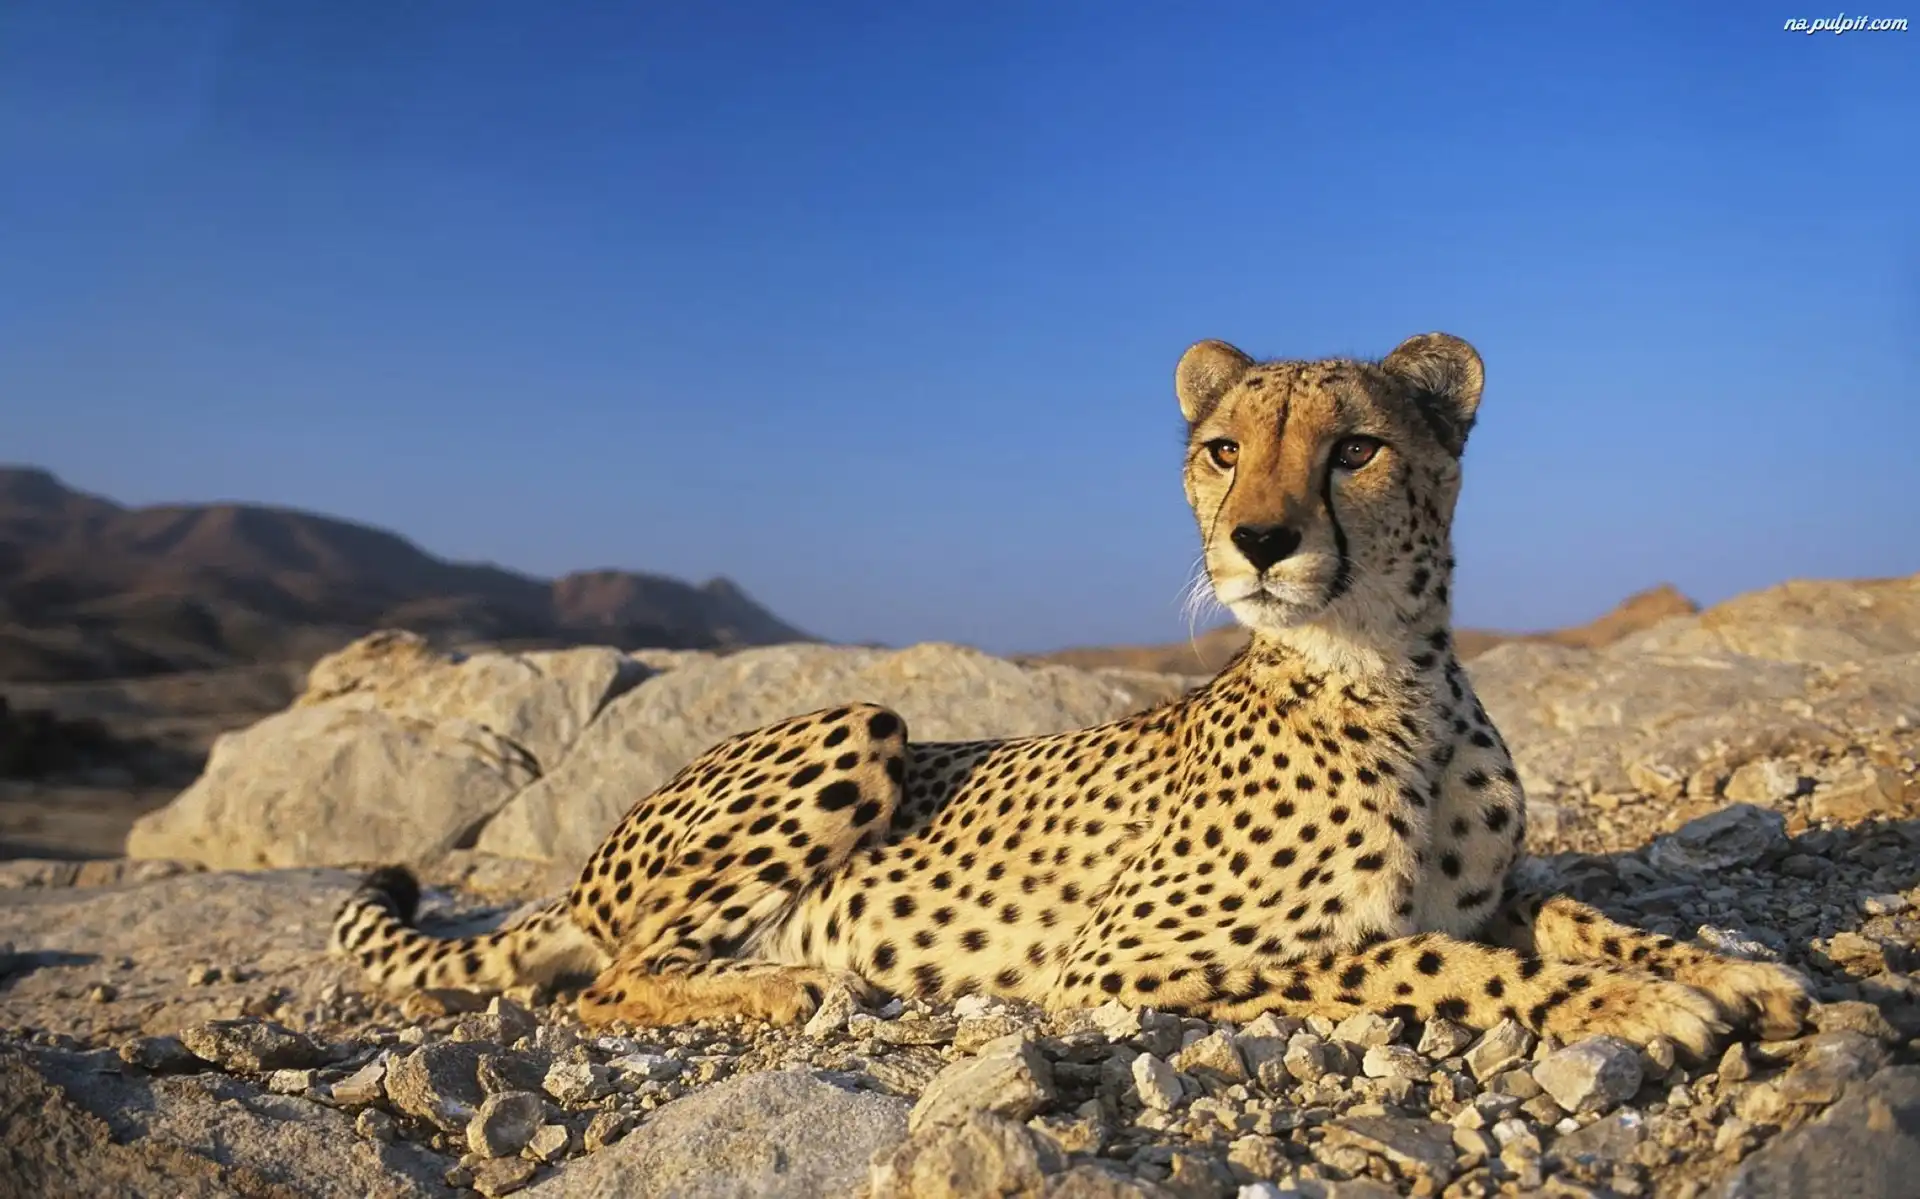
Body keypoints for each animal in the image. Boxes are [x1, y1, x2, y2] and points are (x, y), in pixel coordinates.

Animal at [332, 331, 1811, 1057]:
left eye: (1355, 449)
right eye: (1221, 449)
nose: (1257, 541)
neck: (1389, 674)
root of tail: (587, 860)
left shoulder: (1491, 884)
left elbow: (1578, 913)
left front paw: (1734, 969)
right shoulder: (1122, 959)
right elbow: (1424, 956)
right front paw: (1637, 1007)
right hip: (859, 722)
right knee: (608, 979)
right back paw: (779, 986)